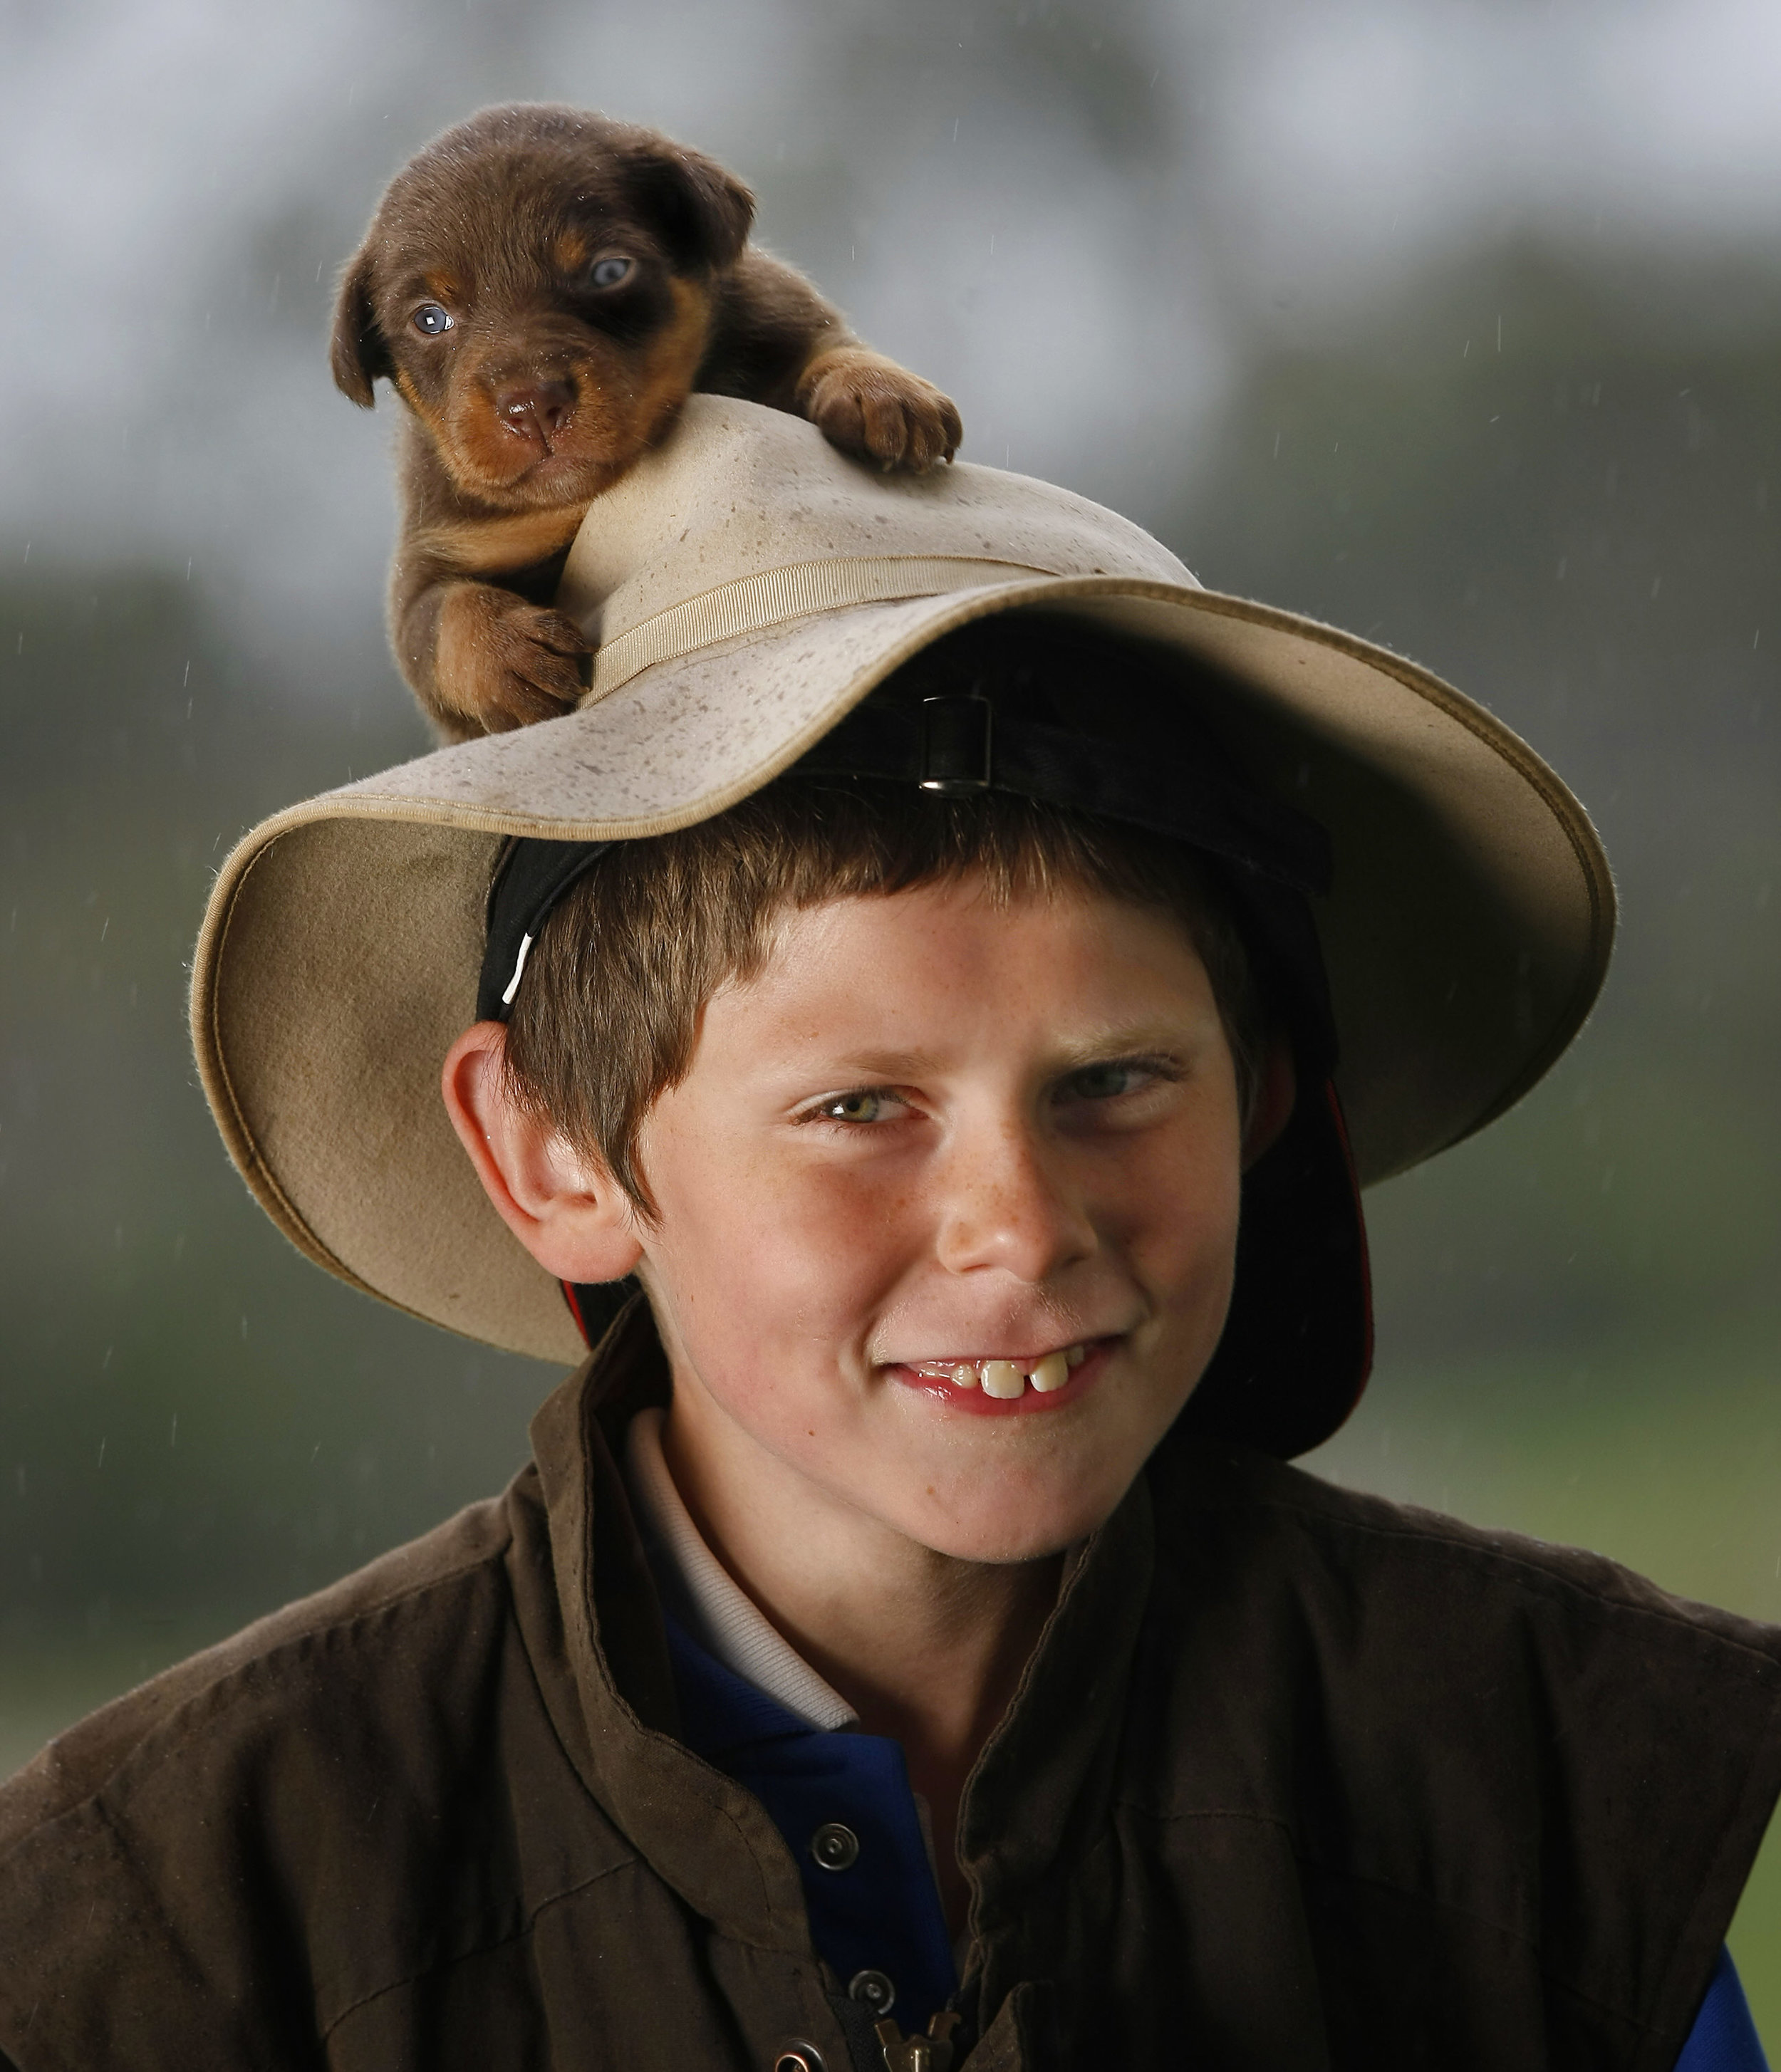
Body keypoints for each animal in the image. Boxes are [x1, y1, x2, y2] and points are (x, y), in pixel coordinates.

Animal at [331, 105, 962, 741]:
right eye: (430, 319)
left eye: (609, 271)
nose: (531, 405)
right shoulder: (437, 553)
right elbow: (441, 616)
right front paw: (508, 653)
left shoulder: (778, 317)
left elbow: (826, 348)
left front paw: (881, 391)